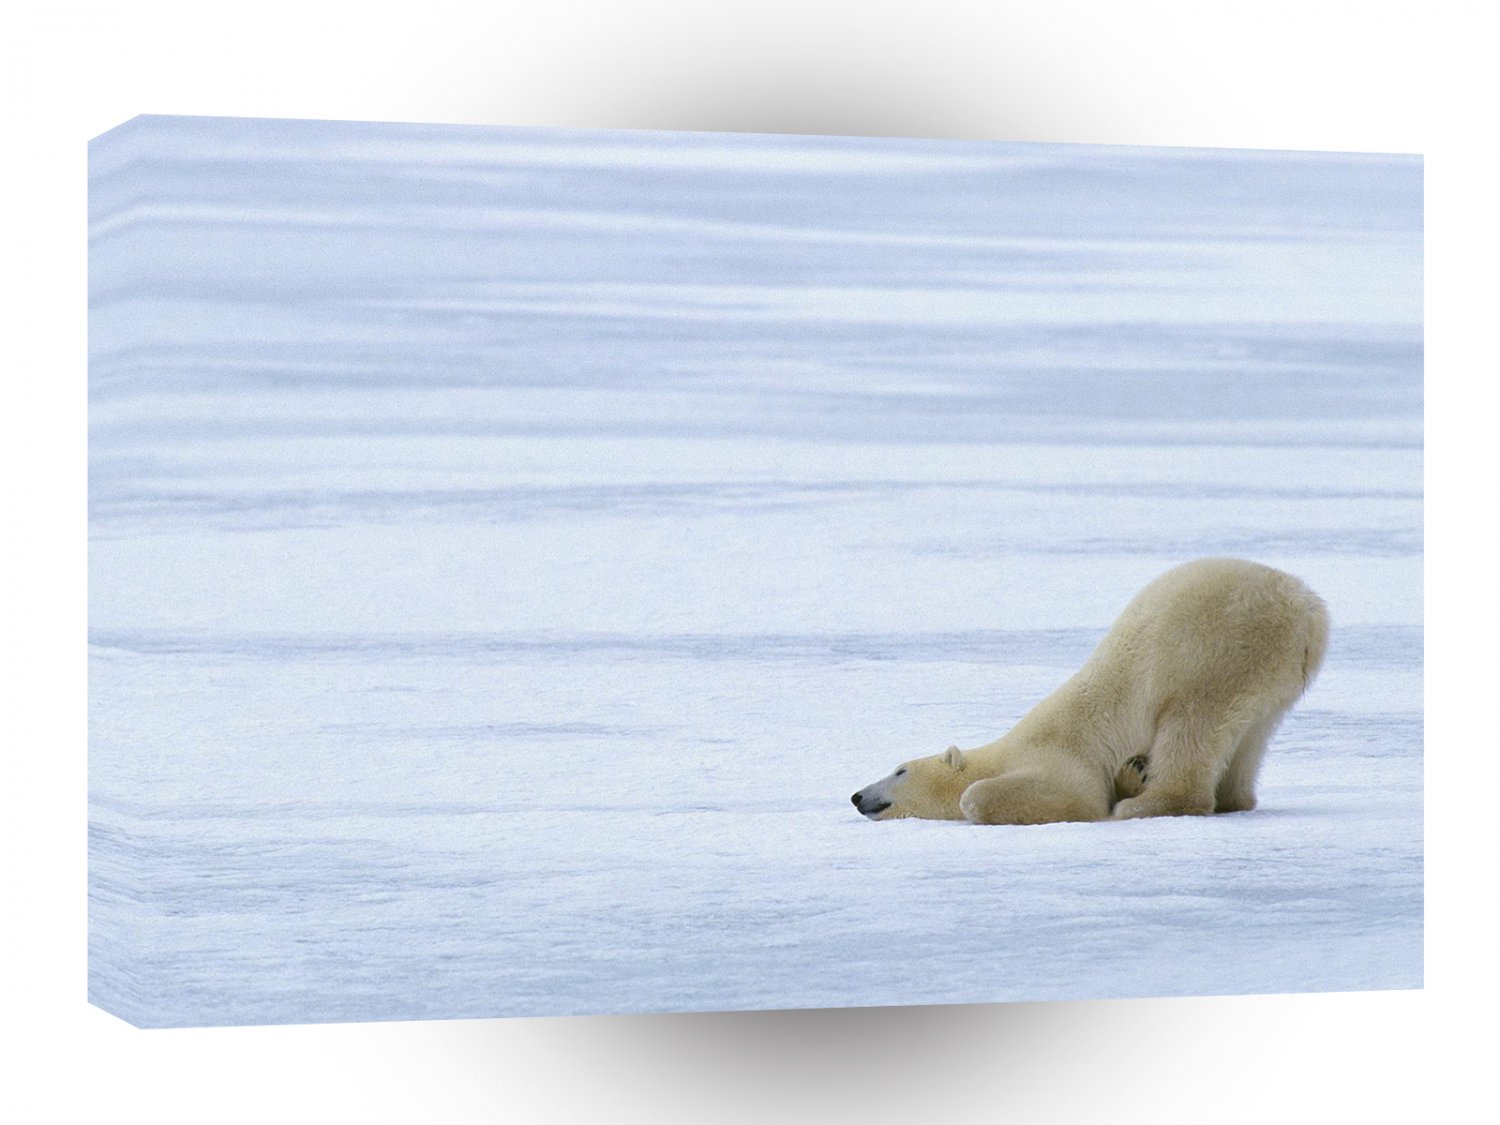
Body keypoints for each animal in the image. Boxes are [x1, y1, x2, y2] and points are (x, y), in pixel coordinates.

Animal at [850, 557, 1329, 824]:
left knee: (1192, 724)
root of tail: (1306, 607)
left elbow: (1026, 796)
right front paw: (1132, 773)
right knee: (1250, 737)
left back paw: (1147, 805)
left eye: (899, 770)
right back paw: (1230, 797)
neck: (1005, 751)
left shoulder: (1060, 758)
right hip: (1273, 677)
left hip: (1216, 650)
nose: (857, 795)